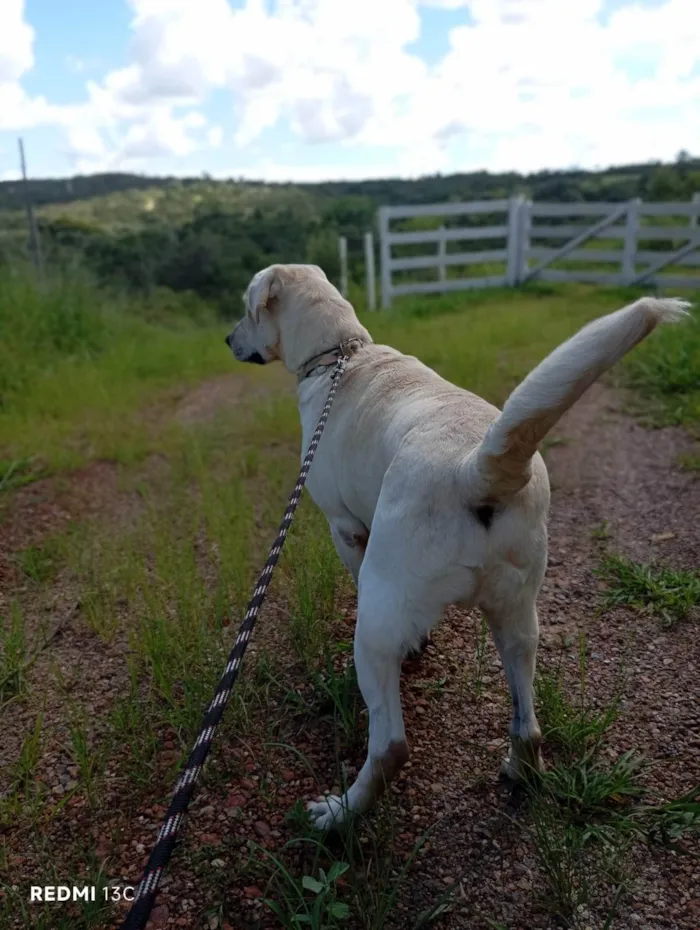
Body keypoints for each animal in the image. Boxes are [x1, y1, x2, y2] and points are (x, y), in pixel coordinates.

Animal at [228, 264, 688, 832]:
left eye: (246, 311)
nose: (227, 340)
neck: (340, 353)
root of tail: (475, 469)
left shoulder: (345, 529)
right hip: (518, 618)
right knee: (527, 723)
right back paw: (520, 771)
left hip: (376, 624)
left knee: (391, 747)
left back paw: (340, 814)